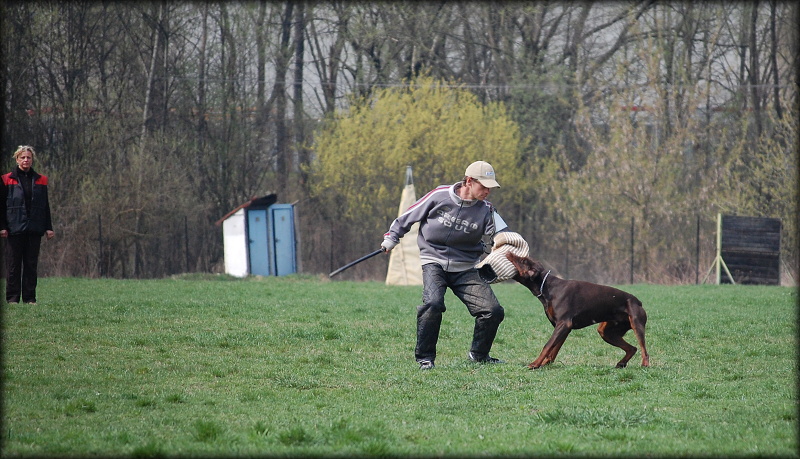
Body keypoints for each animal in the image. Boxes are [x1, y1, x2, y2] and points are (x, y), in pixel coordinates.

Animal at [506, 252, 648, 370]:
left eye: (523, 260)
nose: (508, 252)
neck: (548, 287)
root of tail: (638, 301)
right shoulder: (563, 328)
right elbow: (554, 348)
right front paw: (546, 363)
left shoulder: (564, 324)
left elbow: (547, 345)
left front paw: (535, 364)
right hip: (606, 332)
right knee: (632, 348)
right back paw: (621, 363)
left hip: (636, 324)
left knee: (643, 350)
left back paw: (644, 365)